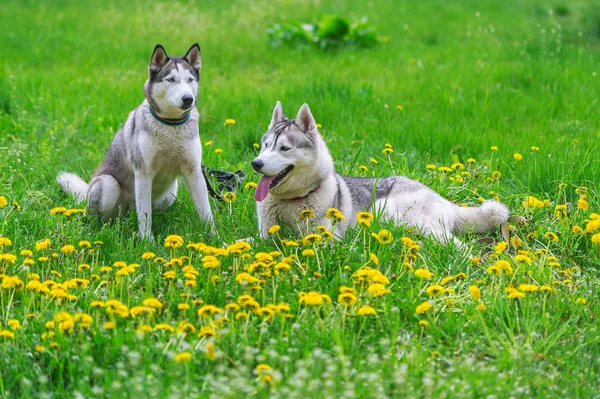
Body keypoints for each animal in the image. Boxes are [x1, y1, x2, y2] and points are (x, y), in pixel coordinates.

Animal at [58, 44, 213, 238]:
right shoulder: (143, 173)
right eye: (171, 79)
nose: (188, 99)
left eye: (190, 79)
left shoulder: (194, 172)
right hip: (108, 185)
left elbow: (206, 213)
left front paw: (215, 239)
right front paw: (147, 241)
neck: (170, 125)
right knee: (102, 218)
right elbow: (145, 216)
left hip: (171, 192)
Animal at [251, 102, 508, 247]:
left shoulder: (328, 239)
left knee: (460, 246)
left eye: (284, 148)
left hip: (389, 211)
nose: (256, 163)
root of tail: (444, 200)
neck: (291, 201)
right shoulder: (264, 235)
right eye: (265, 145)